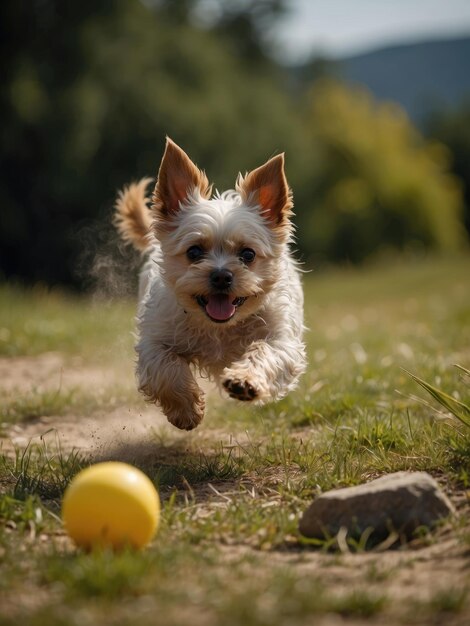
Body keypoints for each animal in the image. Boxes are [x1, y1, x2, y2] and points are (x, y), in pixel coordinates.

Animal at [113, 136, 304, 428]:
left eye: (248, 254)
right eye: (194, 252)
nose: (222, 275)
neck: (218, 329)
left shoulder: (282, 341)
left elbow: (264, 352)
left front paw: (244, 381)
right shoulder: (154, 342)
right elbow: (167, 370)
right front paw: (186, 410)